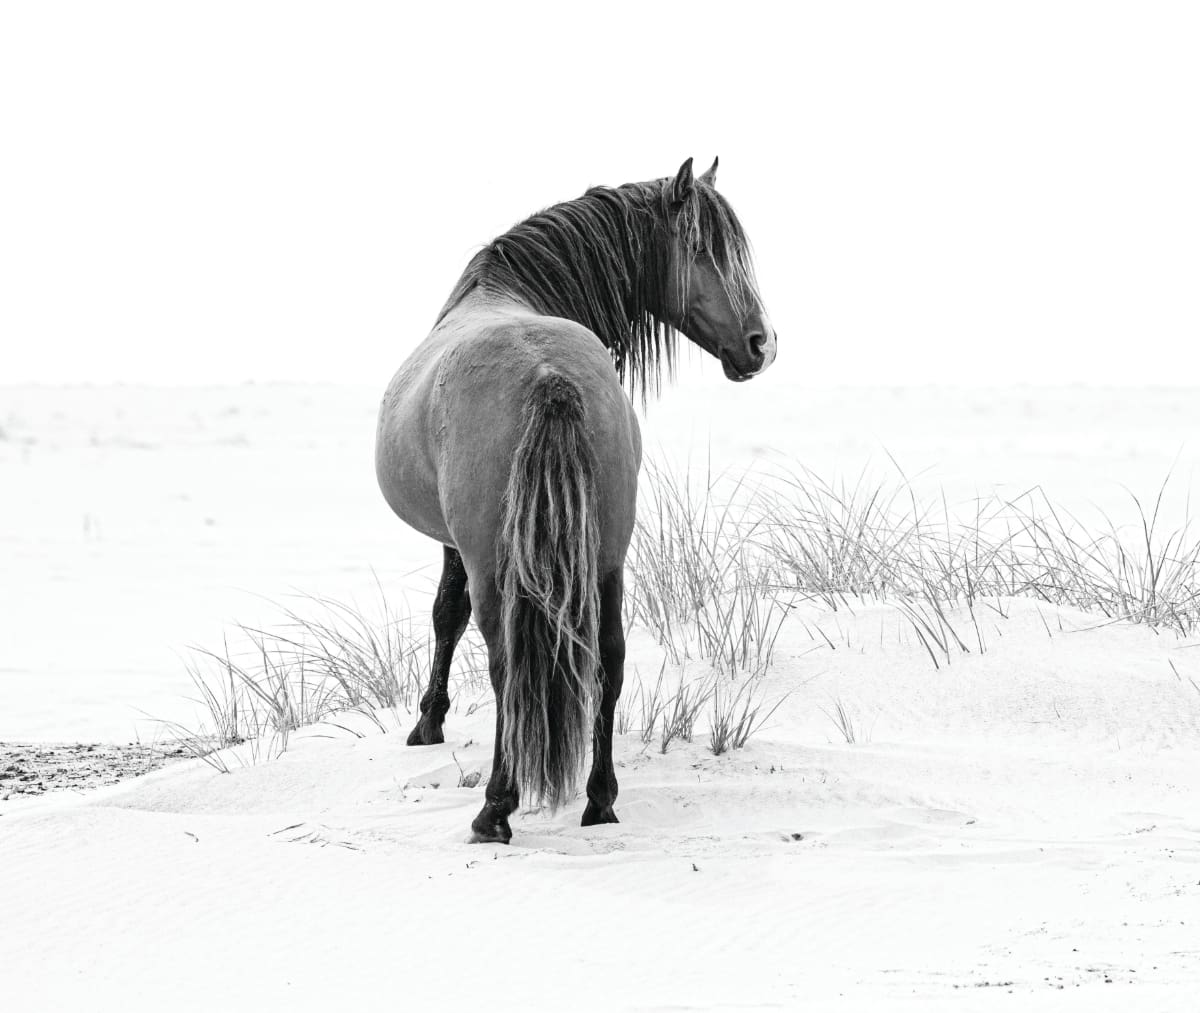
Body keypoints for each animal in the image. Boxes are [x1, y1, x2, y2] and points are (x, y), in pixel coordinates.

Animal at [374, 156, 772, 840]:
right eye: (701, 249)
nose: (760, 343)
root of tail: (549, 376)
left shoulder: (456, 547)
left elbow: (446, 614)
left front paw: (427, 723)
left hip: (499, 566)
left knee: (508, 665)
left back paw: (496, 807)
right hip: (607, 558)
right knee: (608, 659)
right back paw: (599, 799)